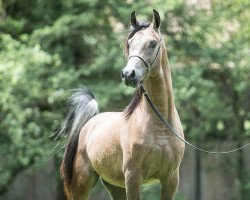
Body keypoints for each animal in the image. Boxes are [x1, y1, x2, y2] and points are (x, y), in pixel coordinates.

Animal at [58, 9, 184, 200]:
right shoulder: (133, 177)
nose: (128, 74)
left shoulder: (171, 179)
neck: (159, 126)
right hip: (81, 184)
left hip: (115, 185)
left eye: (153, 43)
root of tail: (90, 123)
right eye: (129, 43)